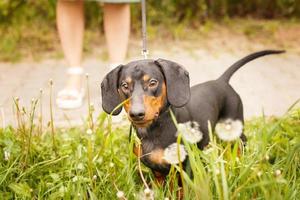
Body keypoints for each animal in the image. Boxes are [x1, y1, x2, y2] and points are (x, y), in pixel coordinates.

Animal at [100, 49, 284, 181]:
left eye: (153, 82)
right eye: (124, 85)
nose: (136, 114)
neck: (154, 129)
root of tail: (222, 81)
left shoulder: (184, 170)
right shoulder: (157, 173)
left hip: (235, 130)